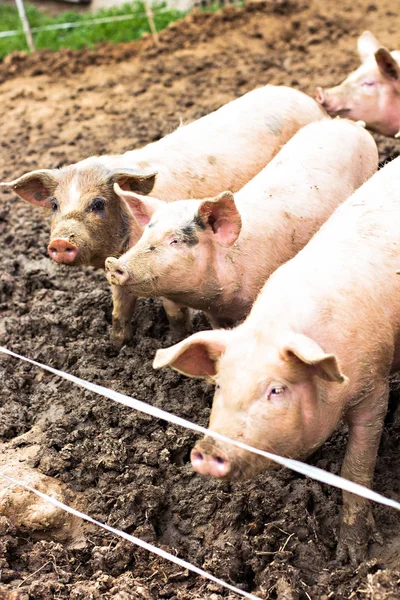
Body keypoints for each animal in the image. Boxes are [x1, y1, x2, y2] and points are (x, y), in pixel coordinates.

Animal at [1, 84, 328, 346]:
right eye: (55, 204)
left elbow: (176, 315)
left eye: (97, 203)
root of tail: (300, 96)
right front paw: (116, 346)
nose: (60, 243)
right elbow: (120, 309)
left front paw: (174, 342)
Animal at [154, 152, 400, 564]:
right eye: (219, 387)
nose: (207, 451)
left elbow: (356, 472)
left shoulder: (374, 383)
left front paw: (350, 557)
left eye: (276, 390)